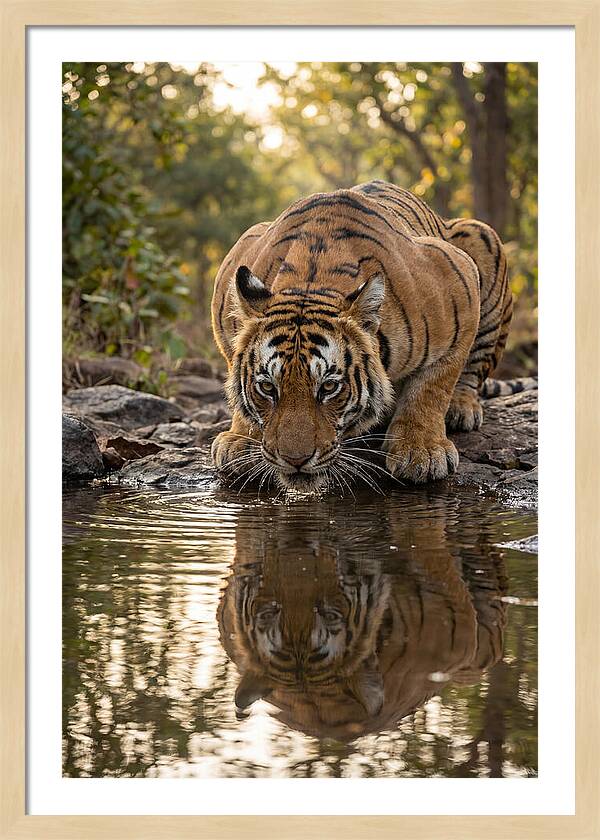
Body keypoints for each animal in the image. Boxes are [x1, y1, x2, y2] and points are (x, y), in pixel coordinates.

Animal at [211, 180, 514, 490]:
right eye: (268, 387)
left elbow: (432, 386)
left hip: (482, 236)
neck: (310, 281)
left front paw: (421, 451)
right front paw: (240, 439)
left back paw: (461, 409)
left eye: (329, 387)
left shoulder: (459, 281)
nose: (295, 460)